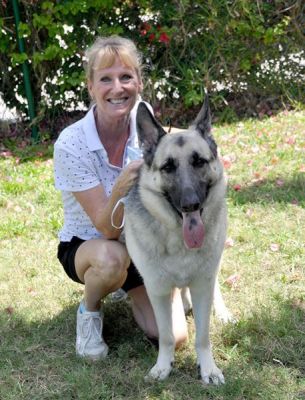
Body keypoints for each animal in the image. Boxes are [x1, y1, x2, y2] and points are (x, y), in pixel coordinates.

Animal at [123, 97, 230, 384]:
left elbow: (202, 336)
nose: (190, 204)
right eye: (168, 167)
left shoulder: (203, 284)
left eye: (199, 162)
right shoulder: (158, 291)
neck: (179, 242)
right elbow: (167, 336)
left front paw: (208, 368)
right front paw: (164, 366)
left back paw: (222, 312)